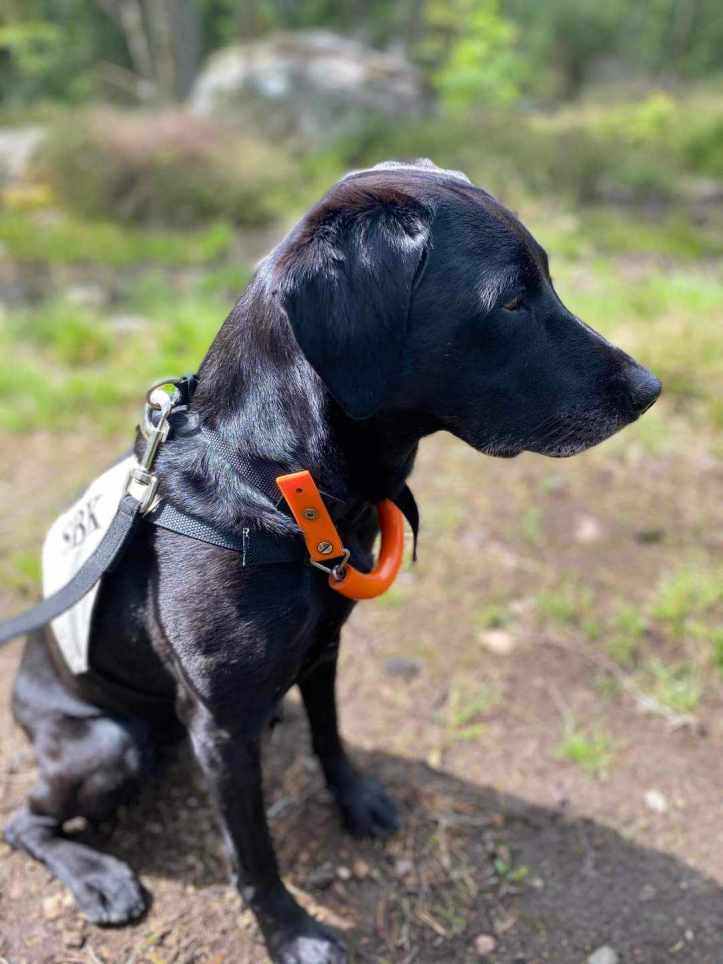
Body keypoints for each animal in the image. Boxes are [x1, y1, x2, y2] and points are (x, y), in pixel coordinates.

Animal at [5, 159, 660, 964]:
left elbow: (331, 735)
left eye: (549, 280)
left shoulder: (324, 651)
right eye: (509, 301)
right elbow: (253, 851)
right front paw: (289, 931)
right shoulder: (221, 727)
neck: (280, 485)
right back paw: (98, 877)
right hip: (106, 743)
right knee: (24, 822)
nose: (650, 388)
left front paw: (355, 800)